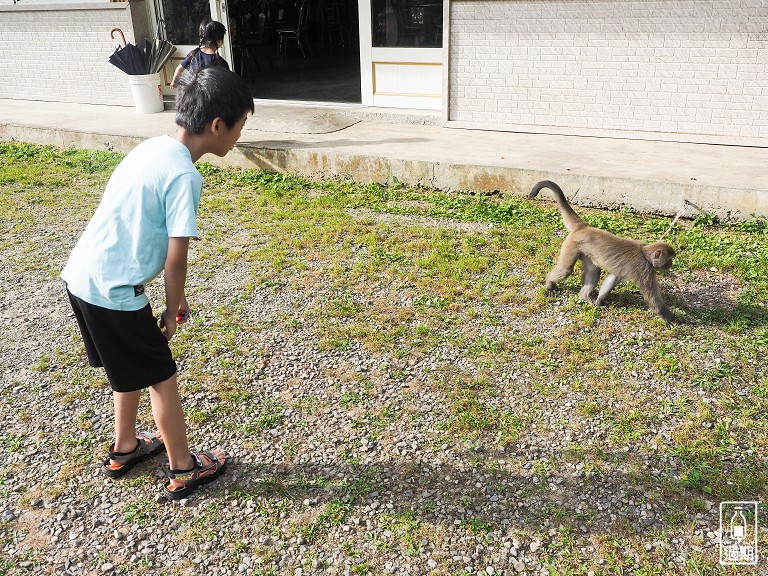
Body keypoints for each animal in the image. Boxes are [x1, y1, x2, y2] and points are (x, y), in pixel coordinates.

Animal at [532, 180, 676, 324]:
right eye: (669, 260)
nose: (671, 264)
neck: (644, 253)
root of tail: (584, 227)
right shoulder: (645, 269)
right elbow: (652, 299)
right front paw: (673, 319)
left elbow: (613, 277)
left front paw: (599, 300)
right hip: (572, 245)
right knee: (565, 270)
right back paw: (549, 283)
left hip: (586, 253)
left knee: (593, 271)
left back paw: (584, 296)